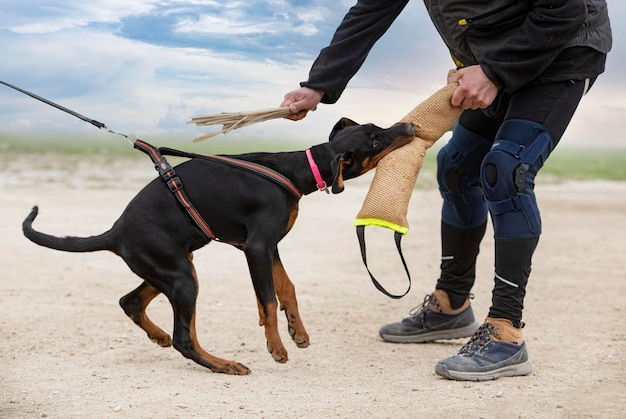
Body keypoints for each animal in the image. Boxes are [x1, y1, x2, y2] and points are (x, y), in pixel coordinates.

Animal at [23, 117, 414, 374]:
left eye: (376, 127)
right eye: (375, 141)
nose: (410, 127)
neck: (293, 170)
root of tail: (115, 232)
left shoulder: (267, 248)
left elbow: (286, 288)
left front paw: (298, 332)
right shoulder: (257, 247)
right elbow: (268, 300)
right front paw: (276, 347)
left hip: (174, 267)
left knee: (131, 302)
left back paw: (160, 337)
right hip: (182, 277)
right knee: (184, 338)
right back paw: (222, 364)